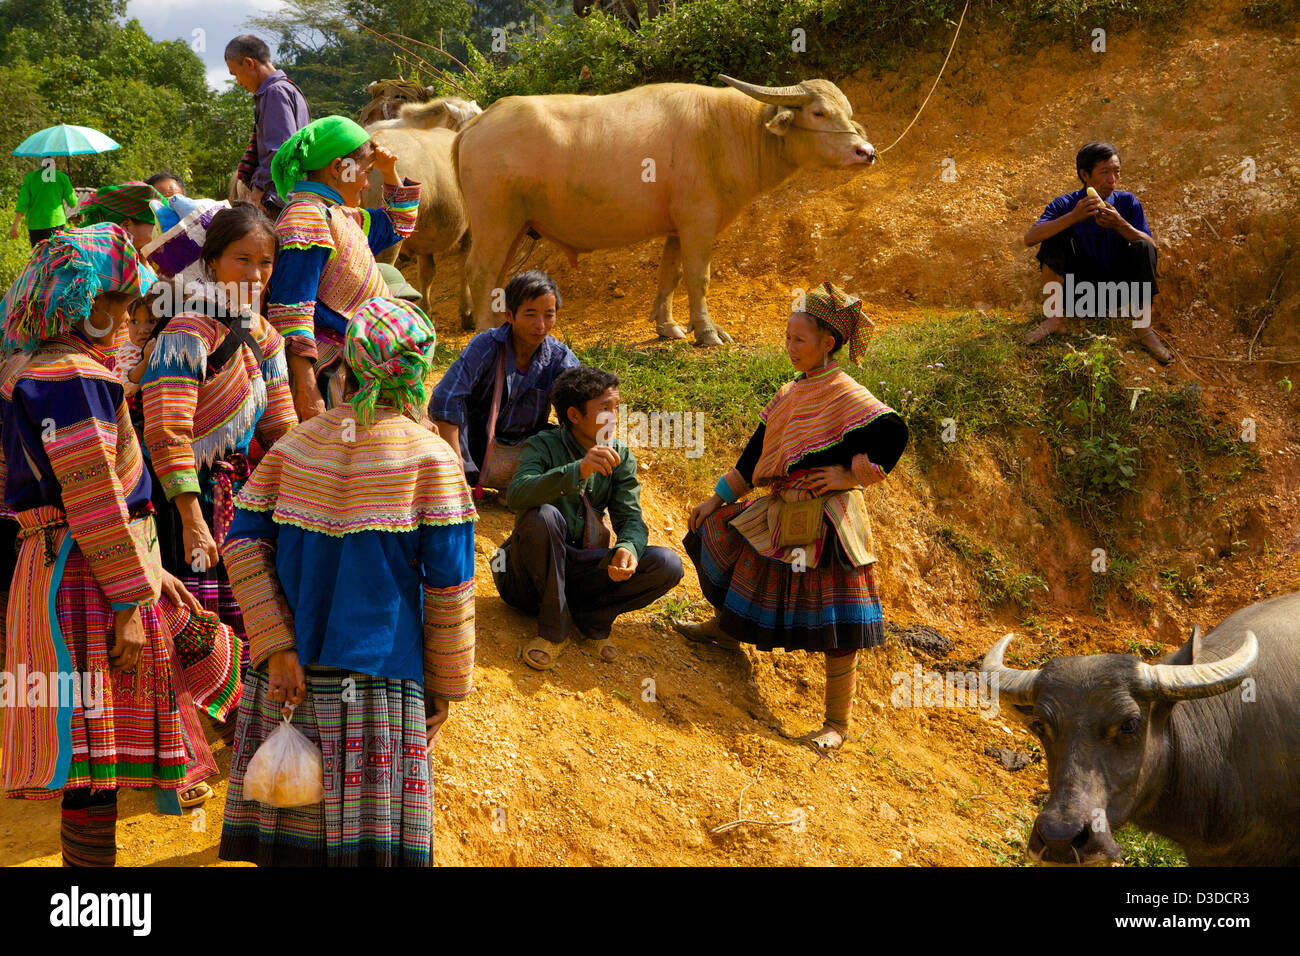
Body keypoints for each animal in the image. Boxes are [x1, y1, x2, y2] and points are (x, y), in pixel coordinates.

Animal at [452, 73, 878, 343]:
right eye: (819, 112)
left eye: (846, 110)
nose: (866, 152)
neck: (725, 132)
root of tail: (475, 125)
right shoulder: (698, 222)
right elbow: (698, 277)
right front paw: (707, 332)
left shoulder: (677, 227)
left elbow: (669, 274)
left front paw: (667, 327)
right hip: (495, 221)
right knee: (480, 271)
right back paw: (486, 332)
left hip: (516, 225)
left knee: (497, 276)